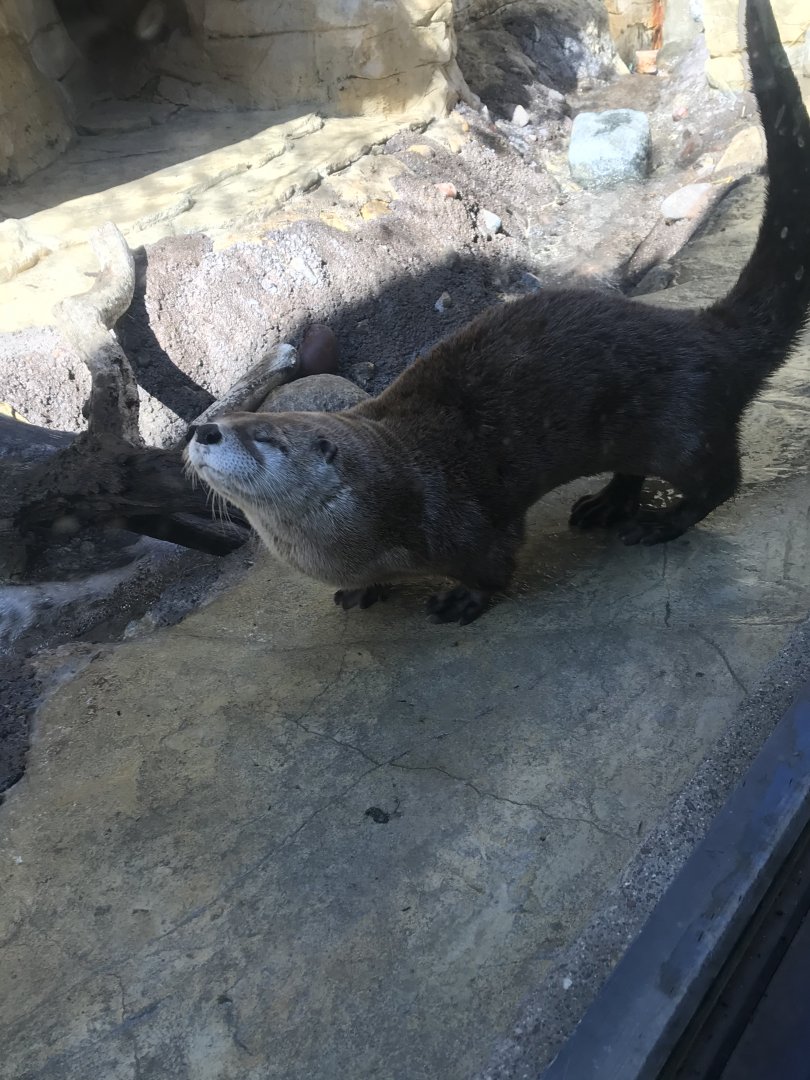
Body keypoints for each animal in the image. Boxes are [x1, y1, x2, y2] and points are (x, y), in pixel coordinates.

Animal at [186, 0, 810, 625]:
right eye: (234, 420)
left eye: (264, 435)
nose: (204, 429)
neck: (385, 496)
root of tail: (704, 333)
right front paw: (364, 591)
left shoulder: (463, 523)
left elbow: (495, 564)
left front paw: (461, 601)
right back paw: (606, 503)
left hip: (681, 421)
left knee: (718, 480)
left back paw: (657, 522)